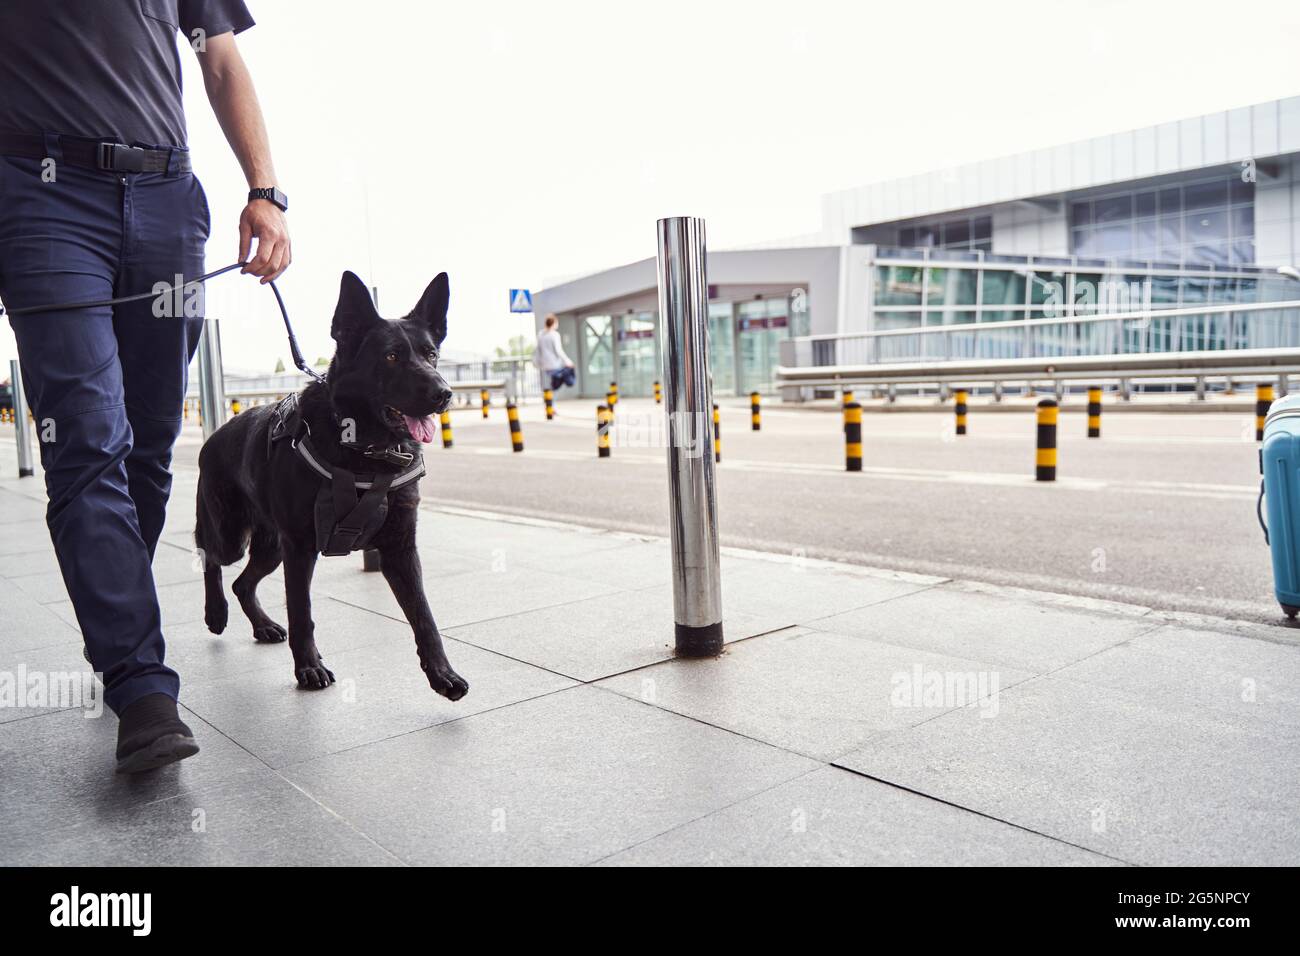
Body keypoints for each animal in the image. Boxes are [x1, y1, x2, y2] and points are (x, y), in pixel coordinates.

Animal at [195, 273, 470, 697]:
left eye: (431, 354)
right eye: (391, 357)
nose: (445, 393)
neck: (363, 449)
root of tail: (214, 435)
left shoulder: (400, 549)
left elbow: (424, 617)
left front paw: (442, 673)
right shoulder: (300, 548)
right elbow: (302, 612)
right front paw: (308, 667)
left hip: (272, 548)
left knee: (243, 583)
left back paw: (262, 625)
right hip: (233, 538)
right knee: (210, 556)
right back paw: (216, 611)